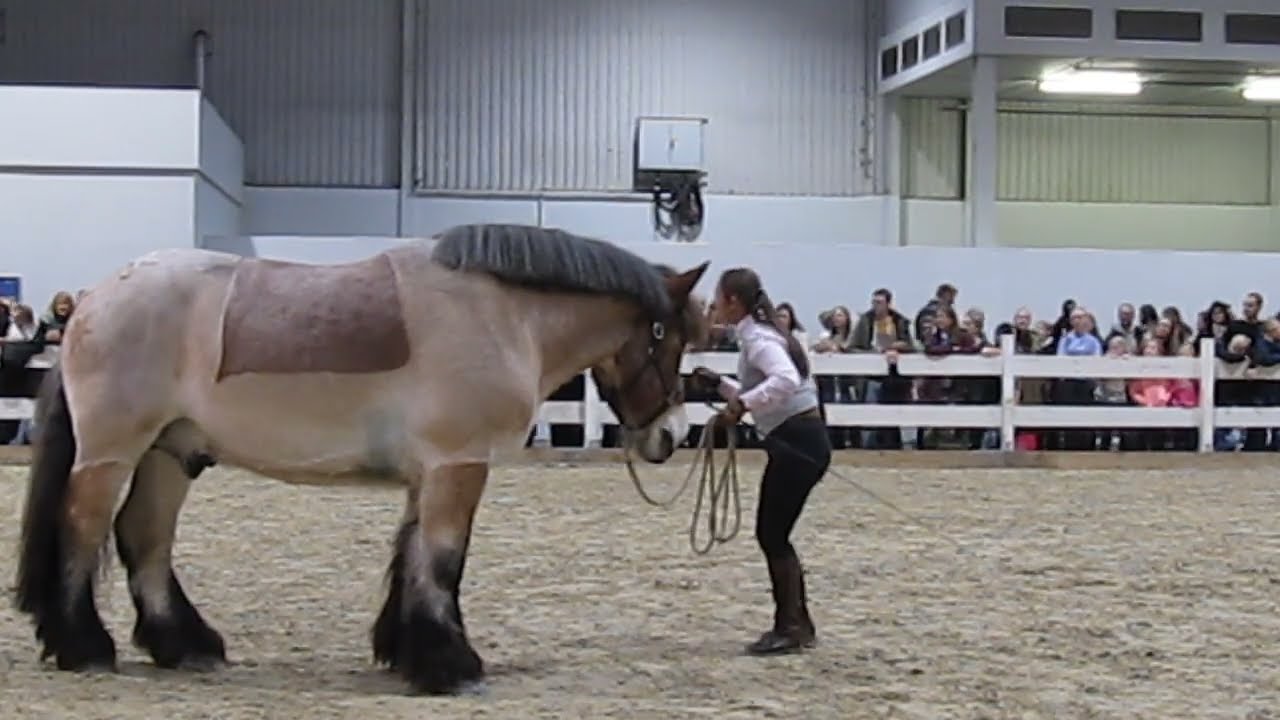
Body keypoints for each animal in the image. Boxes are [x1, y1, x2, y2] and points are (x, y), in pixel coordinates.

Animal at [13, 223, 710, 695]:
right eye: (667, 338)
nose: (672, 433)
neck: (501, 315)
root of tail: (92, 301)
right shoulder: (458, 465)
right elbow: (444, 561)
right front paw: (449, 665)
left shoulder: (430, 473)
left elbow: (414, 558)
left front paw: (410, 652)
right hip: (112, 452)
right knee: (84, 528)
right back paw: (83, 645)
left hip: (171, 453)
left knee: (146, 539)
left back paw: (183, 644)